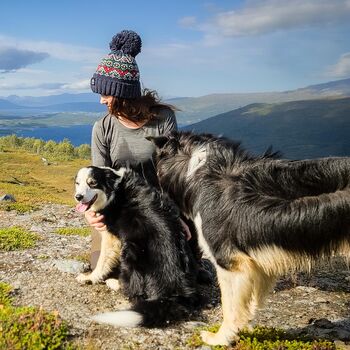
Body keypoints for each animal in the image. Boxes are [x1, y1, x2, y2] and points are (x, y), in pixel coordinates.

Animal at [74, 165, 200, 326]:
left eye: (92, 183)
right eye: (77, 183)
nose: (78, 197)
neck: (114, 187)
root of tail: (174, 293)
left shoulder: (111, 237)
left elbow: (102, 261)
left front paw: (90, 278)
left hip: (130, 250)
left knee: (136, 292)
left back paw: (115, 284)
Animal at [148, 132, 350, 348]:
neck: (198, 169)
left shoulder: (231, 262)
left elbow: (229, 306)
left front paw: (221, 337)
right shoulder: (257, 262)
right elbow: (248, 301)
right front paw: (244, 325)